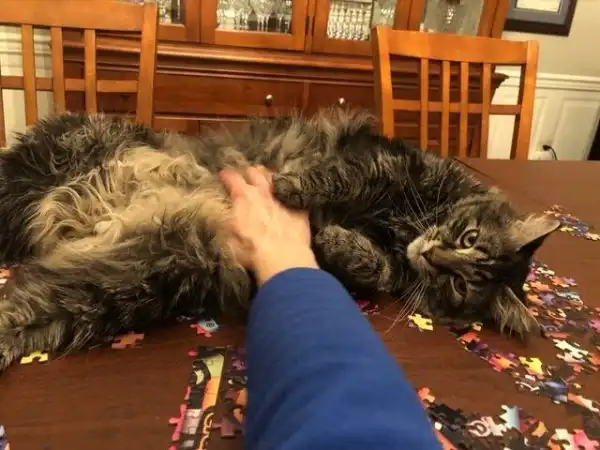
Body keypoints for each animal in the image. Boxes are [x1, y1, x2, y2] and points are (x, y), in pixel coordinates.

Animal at [0, 109, 559, 371]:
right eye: (468, 237)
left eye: (461, 286)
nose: (434, 255)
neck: (404, 226)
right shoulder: (381, 162)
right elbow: (333, 177)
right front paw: (288, 187)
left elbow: (375, 269)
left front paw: (341, 242)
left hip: (139, 276)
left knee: (27, 307)